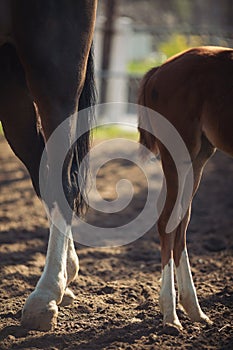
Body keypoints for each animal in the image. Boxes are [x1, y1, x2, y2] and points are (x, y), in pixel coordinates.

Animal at [139, 47, 232, 334]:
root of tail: (159, 69)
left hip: (200, 156)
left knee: (182, 221)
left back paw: (194, 310)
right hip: (179, 152)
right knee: (168, 222)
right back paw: (171, 314)